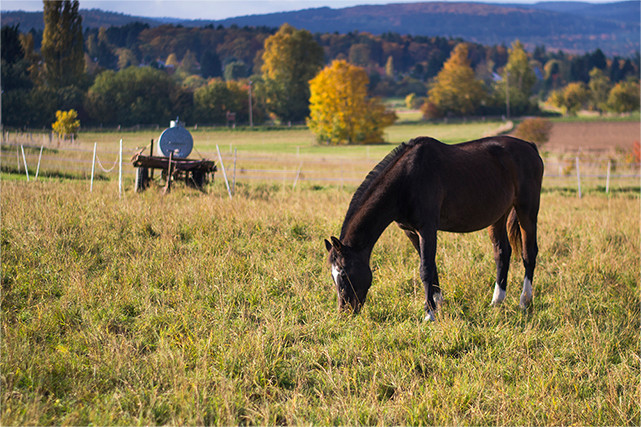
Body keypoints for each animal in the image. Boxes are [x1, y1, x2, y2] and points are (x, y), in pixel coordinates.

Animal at [322, 137, 544, 320]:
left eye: (343, 274)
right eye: (333, 275)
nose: (344, 312)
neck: (406, 180)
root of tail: (531, 147)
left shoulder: (427, 228)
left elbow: (425, 268)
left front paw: (429, 313)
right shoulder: (411, 231)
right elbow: (430, 265)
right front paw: (438, 302)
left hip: (527, 211)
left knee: (529, 253)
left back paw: (525, 301)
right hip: (498, 215)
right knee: (502, 253)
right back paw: (497, 301)